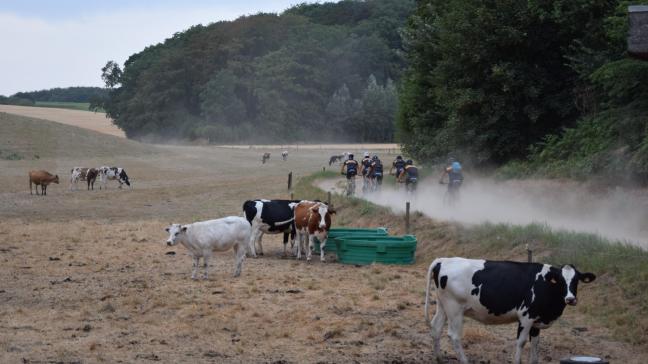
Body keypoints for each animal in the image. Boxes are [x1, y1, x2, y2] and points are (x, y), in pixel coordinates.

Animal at [422, 258, 596, 362]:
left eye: (576, 280)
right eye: (560, 281)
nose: (570, 299)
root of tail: (444, 260)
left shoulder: (536, 320)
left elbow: (535, 345)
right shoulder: (526, 316)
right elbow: (521, 342)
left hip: (443, 305)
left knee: (436, 328)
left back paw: (439, 358)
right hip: (455, 309)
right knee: (454, 336)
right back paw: (464, 361)